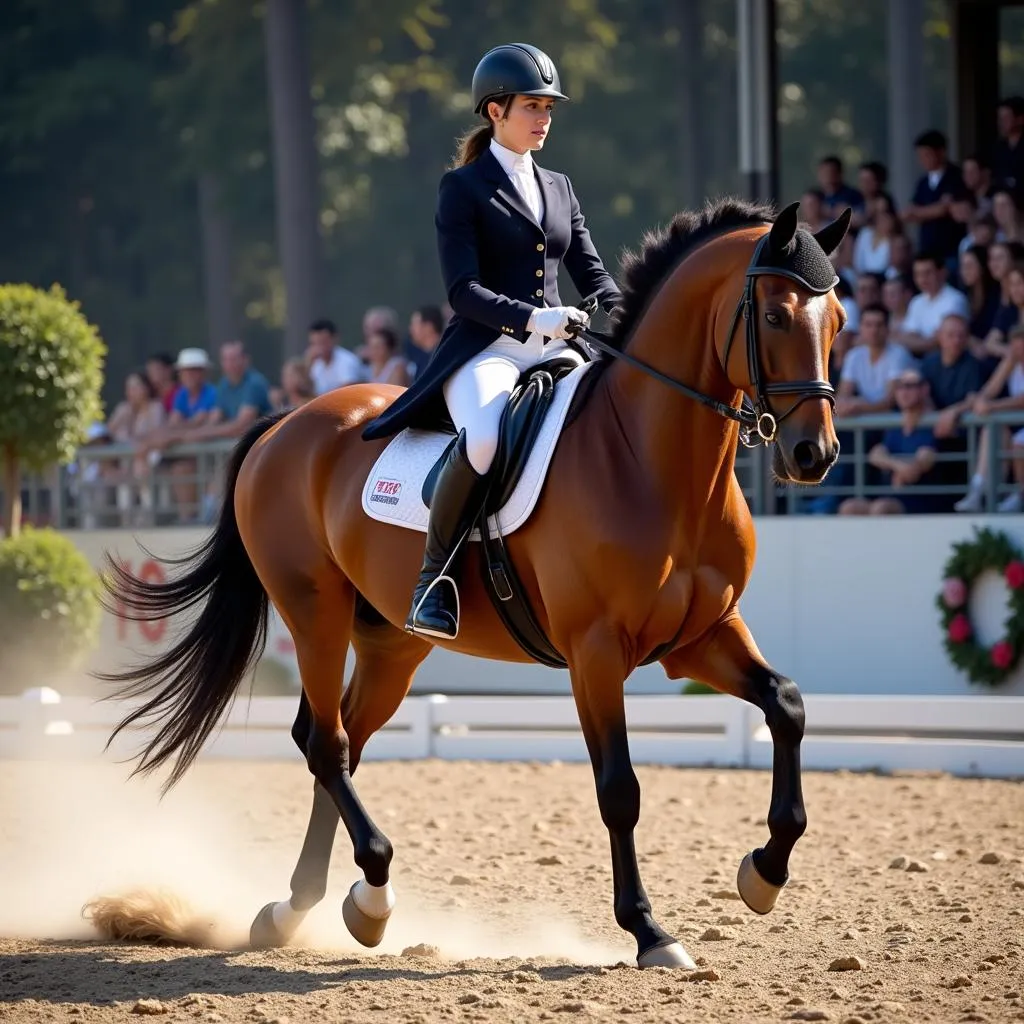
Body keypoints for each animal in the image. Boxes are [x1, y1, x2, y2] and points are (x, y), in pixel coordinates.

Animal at [99, 197, 851, 966]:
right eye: (776, 316)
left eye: (839, 321)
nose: (814, 455)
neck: (653, 464)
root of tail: (287, 421)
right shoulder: (596, 651)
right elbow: (619, 789)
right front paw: (649, 931)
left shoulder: (701, 636)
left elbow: (787, 705)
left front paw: (764, 873)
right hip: (314, 610)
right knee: (327, 744)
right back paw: (368, 892)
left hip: (391, 642)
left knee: (338, 740)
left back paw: (301, 909)